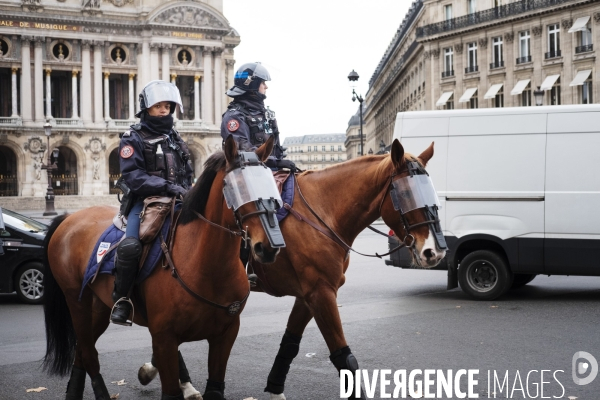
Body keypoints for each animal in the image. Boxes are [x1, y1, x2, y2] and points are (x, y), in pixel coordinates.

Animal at [41, 135, 282, 400]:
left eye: (272, 183)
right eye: (238, 186)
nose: (269, 246)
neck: (208, 269)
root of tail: (69, 217)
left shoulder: (225, 335)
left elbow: (215, 387)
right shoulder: (164, 337)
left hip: (99, 305)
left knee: (82, 351)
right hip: (76, 301)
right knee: (88, 352)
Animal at [141, 139, 446, 398]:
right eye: (405, 194)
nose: (435, 251)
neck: (323, 211)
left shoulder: (310, 293)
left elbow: (290, 343)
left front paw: (275, 387)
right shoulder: (321, 292)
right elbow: (343, 355)